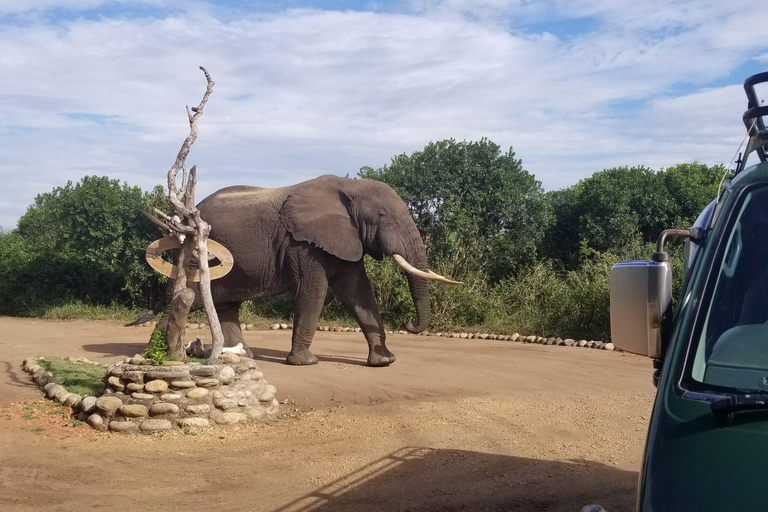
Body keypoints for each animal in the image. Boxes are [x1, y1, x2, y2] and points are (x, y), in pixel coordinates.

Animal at [153, 174, 460, 366]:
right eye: (382, 216)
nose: (409, 324)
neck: (350, 187)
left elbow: (358, 292)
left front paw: (384, 361)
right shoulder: (302, 244)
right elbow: (314, 290)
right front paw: (305, 362)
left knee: (228, 306)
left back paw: (244, 356)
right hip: (196, 254)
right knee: (186, 296)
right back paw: (163, 354)